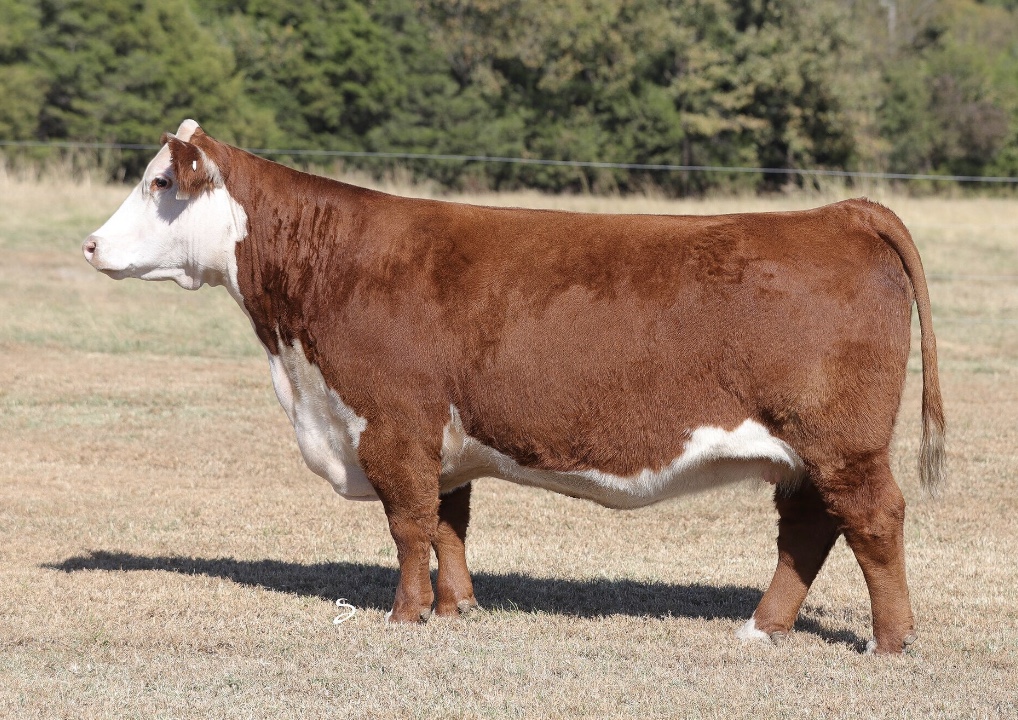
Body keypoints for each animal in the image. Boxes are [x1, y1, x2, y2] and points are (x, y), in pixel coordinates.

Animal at [83, 120, 944, 655]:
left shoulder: (392, 426)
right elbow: (449, 525)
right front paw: (458, 607)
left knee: (873, 521)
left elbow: (408, 526)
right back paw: (764, 627)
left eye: (160, 182)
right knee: (807, 531)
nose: (90, 244)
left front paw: (404, 615)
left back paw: (890, 641)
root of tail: (839, 212)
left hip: (840, 443)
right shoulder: (444, 439)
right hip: (806, 456)